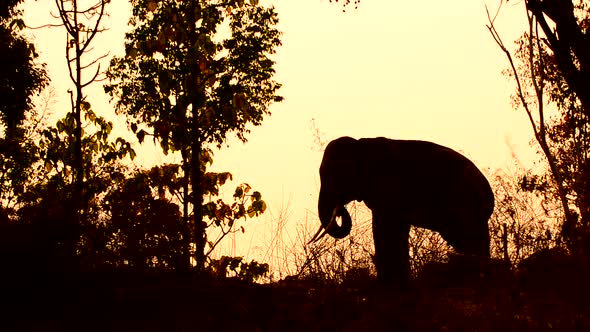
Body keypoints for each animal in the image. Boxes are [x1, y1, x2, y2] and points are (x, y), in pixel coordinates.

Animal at [312, 136, 498, 286]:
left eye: (335, 174)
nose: (340, 209)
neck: (361, 144)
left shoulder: (388, 184)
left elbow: (385, 226)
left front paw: (388, 284)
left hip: (464, 201)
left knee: (471, 236)